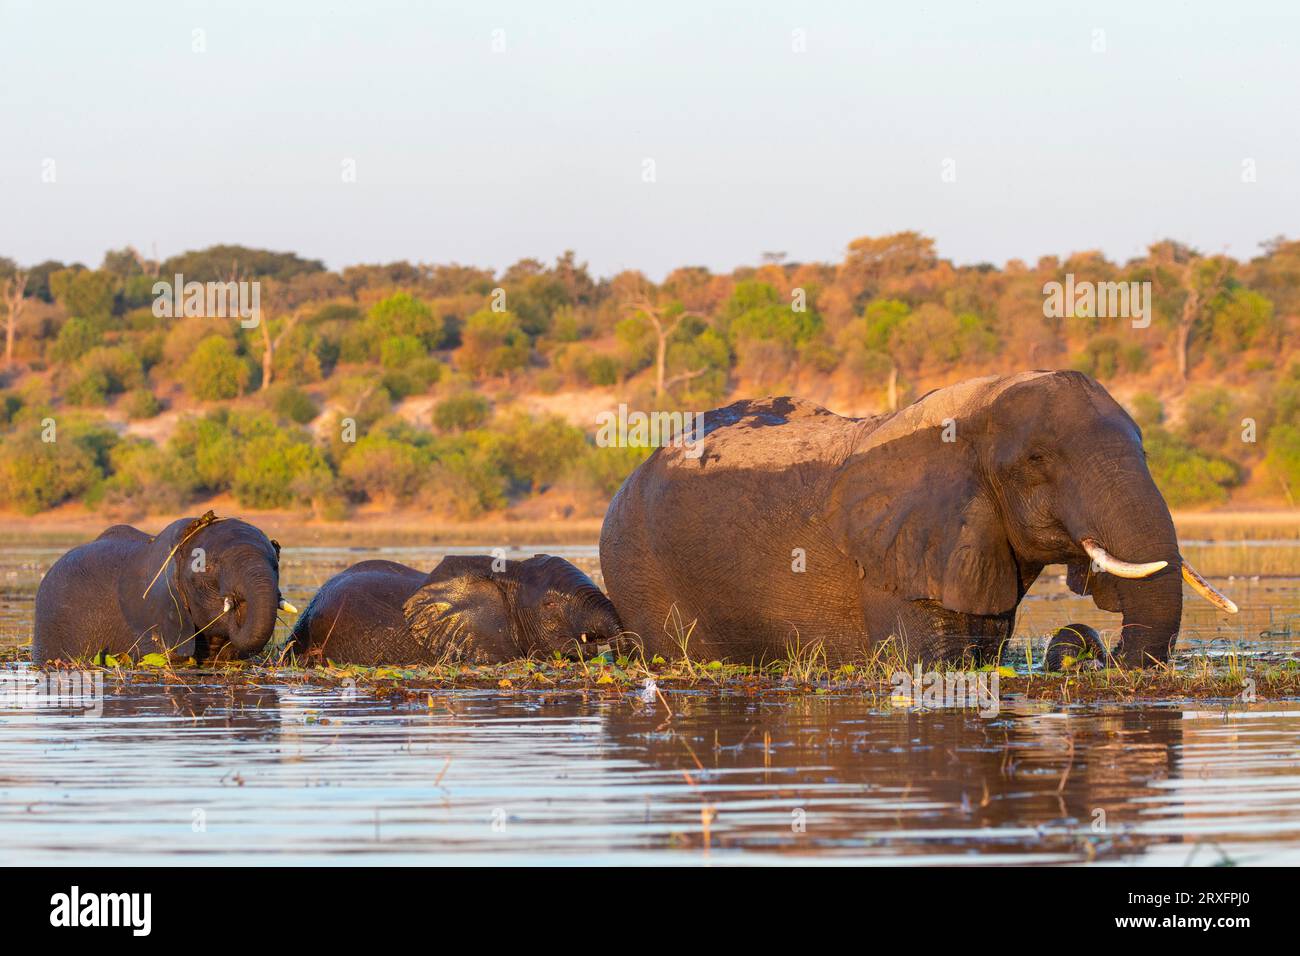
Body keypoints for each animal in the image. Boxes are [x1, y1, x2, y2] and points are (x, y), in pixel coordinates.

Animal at [600, 369, 1237, 671]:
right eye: (1038, 463)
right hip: (637, 566)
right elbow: (934, 667)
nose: (1091, 652)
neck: (975, 411)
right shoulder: (894, 560)